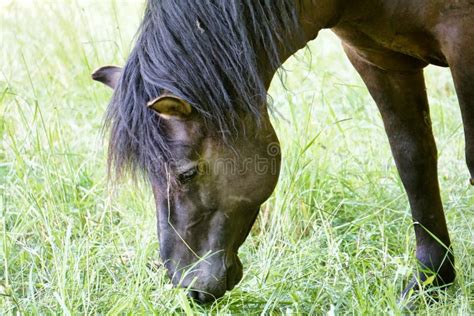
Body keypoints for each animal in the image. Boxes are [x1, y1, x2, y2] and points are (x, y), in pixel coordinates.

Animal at [93, 0, 474, 306]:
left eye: (186, 173)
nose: (189, 287)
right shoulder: (377, 60)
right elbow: (413, 161)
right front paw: (431, 279)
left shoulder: (462, 43)